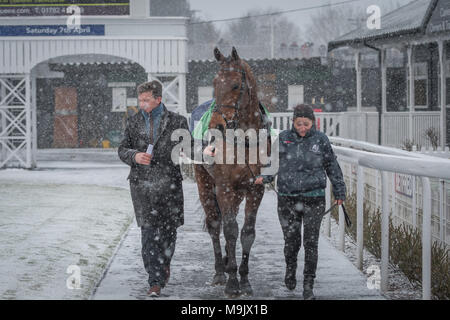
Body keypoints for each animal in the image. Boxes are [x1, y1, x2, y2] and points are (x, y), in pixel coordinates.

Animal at [194, 46, 270, 296]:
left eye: (236, 85)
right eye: (215, 82)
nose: (215, 126)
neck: (244, 141)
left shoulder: (256, 188)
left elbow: (246, 232)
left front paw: (244, 279)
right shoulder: (225, 187)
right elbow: (229, 230)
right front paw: (232, 282)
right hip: (205, 184)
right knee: (215, 224)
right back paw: (220, 270)